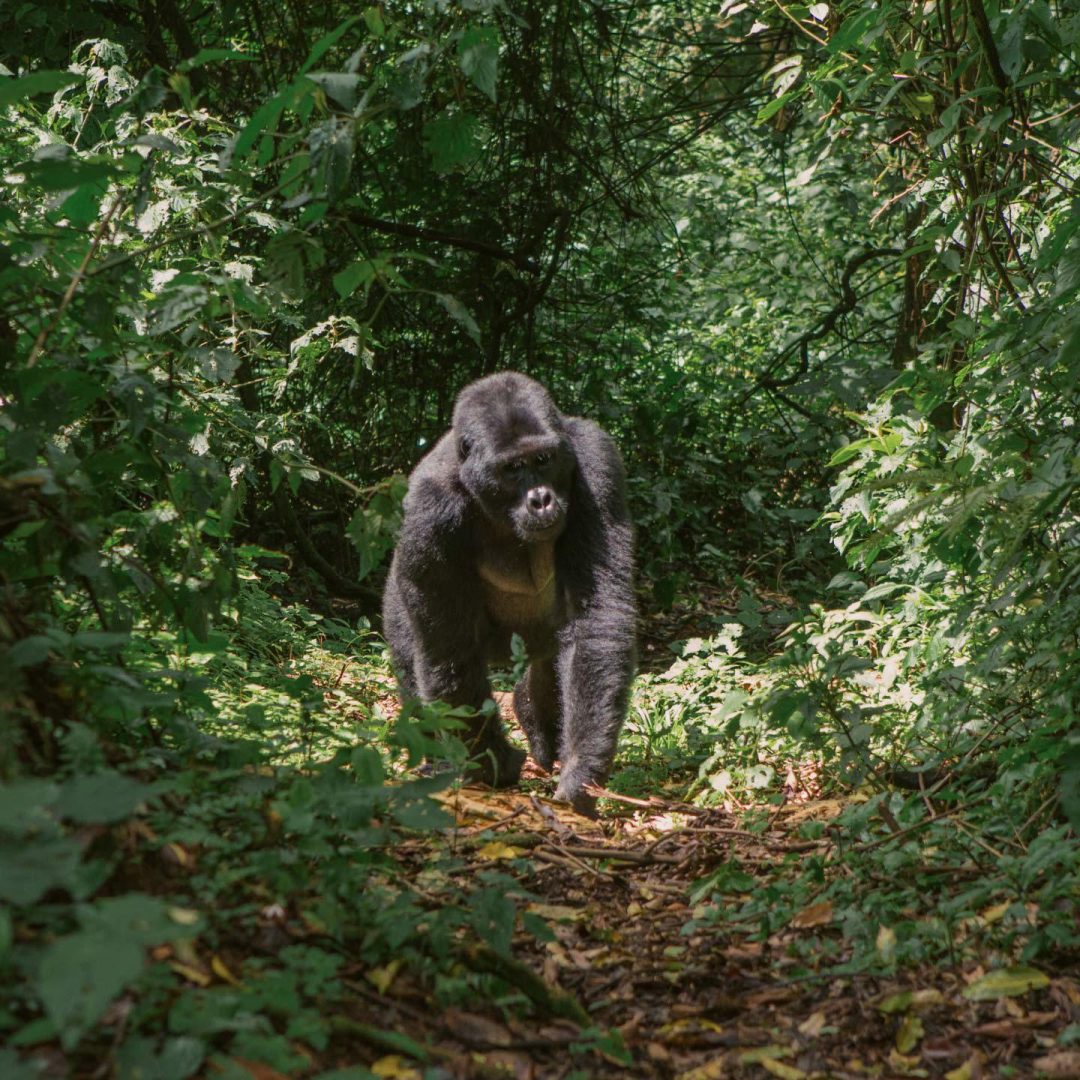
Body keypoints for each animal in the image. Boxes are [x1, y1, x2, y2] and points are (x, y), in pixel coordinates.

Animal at [382, 372, 636, 815]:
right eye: (512, 468)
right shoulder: (429, 510)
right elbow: (450, 649)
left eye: (543, 460)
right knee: (412, 655)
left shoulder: (596, 460)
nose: (542, 500)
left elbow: (596, 619)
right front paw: (492, 764)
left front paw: (582, 768)